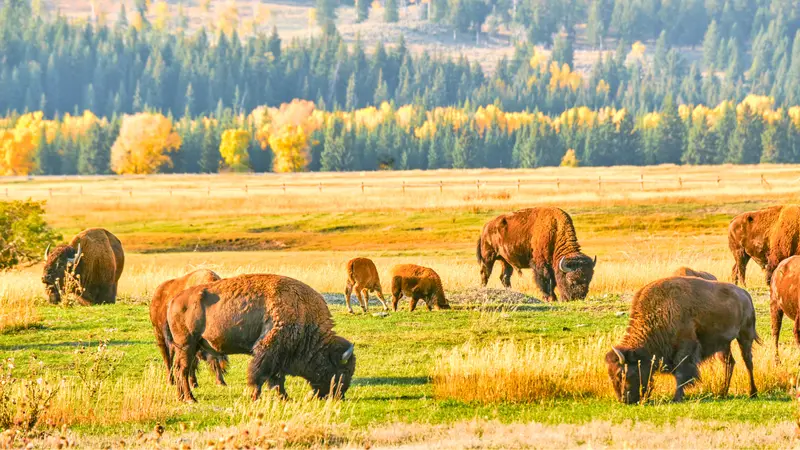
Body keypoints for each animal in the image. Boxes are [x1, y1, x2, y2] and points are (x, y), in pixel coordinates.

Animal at [166, 274, 356, 402]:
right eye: (343, 371)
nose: (339, 396)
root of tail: (174, 300)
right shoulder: (269, 351)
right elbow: (259, 375)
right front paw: (256, 397)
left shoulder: (279, 356)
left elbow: (276, 378)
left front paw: (284, 398)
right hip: (187, 345)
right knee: (182, 370)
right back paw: (190, 398)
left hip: (192, 347)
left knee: (179, 369)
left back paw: (182, 397)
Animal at [606, 276, 759, 404]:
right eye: (610, 375)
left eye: (622, 374)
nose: (623, 400)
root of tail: (745, 294)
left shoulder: (685, 349)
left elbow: (680, 373)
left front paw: (677, 398)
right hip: (723, 344)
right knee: (729, 363)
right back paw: (722, 392)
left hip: (745, 335)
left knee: (748, 362)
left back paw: (753, 393)